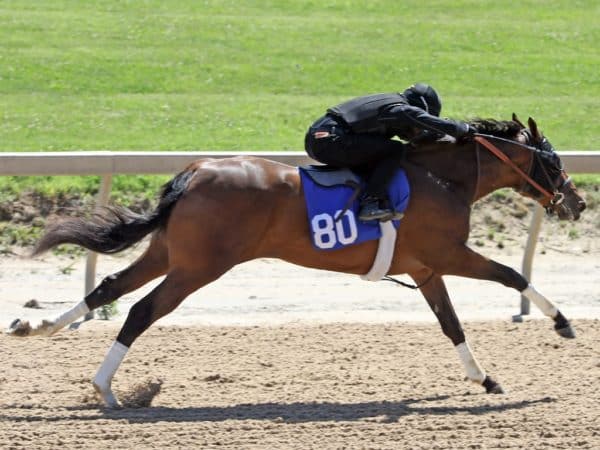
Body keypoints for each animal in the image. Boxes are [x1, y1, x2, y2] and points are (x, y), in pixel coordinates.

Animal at [4, 113, 584, 408]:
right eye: (552, 160)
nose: (576, 202)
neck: (443, 178)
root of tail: (194, 171)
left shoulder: (426, 268)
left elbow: (451, 324)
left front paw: (485, 379)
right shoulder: (449, 252)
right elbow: (513, 274)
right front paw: (562, 323)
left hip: (170, 252)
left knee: (109, 287)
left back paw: (40, 327)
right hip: (199, 267)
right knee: (141, 310)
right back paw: (106, 388)